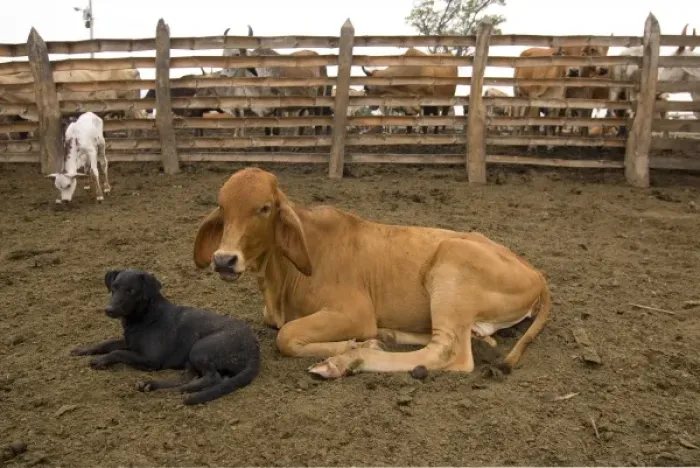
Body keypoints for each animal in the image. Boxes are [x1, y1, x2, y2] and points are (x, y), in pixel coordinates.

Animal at [192, 167, 552, 379]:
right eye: (222, 206)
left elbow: (287, 336)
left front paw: (352, 348)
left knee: (450, 352)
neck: (280, 281)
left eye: (265, 208)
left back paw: (350, 360)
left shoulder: (355, 312)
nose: (224, 260)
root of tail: (536, 274)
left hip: (452, 266)